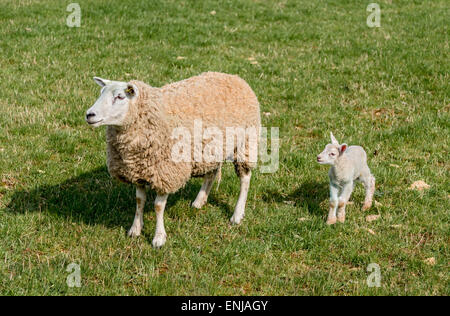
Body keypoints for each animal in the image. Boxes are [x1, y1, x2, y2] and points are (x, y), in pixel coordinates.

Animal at [85, 71, 260, 247]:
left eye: (120, 97)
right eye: (101, 93)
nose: (89, 114)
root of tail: (234, 77)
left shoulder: (165, 173)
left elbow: (158, 206)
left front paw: (159, 238)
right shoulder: (138, 171)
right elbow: (139, 200)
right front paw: (135, 229)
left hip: (245, 143)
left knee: (245, 179)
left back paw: (237, 215)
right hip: (212, 149)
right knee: (212, 173)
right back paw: (199, 201)